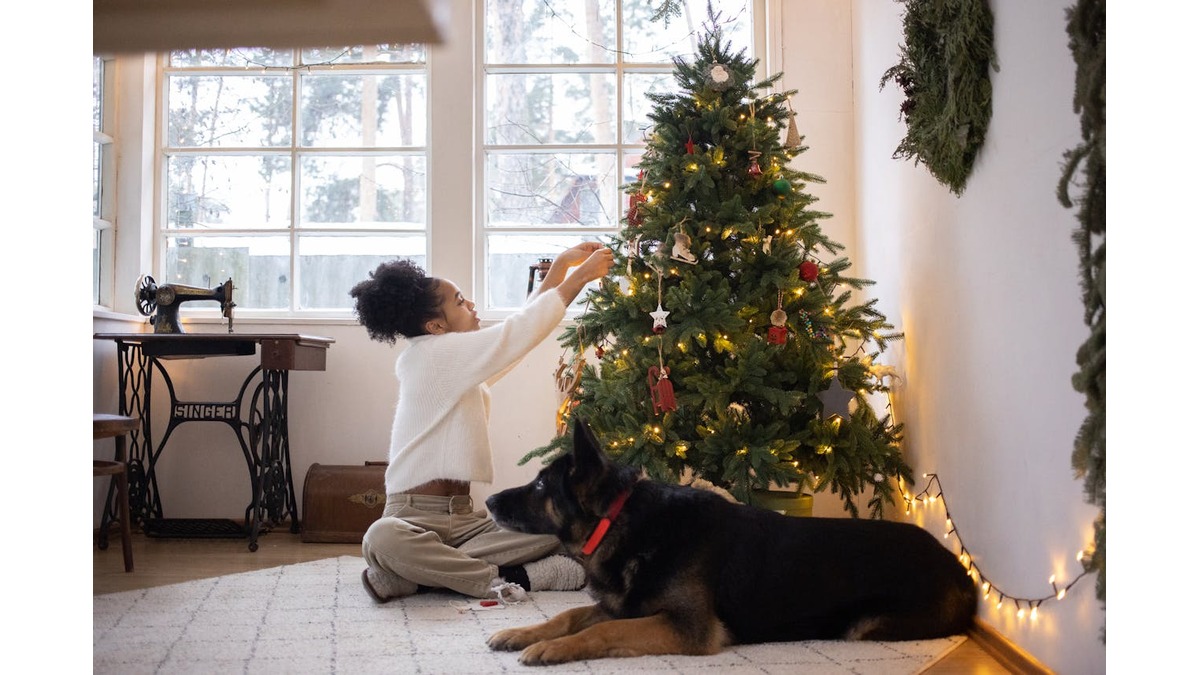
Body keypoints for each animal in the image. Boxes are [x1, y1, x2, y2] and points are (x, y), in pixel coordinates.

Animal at [482, 415, 979, 662]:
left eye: (541, 486)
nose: (486, 500)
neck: (625, 521)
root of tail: (961, 567)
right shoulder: (623, 605)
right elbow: (568, 617)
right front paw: (523, 632)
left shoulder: (685, 627)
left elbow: (602, 632)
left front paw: (552, 649)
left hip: (864, 625)